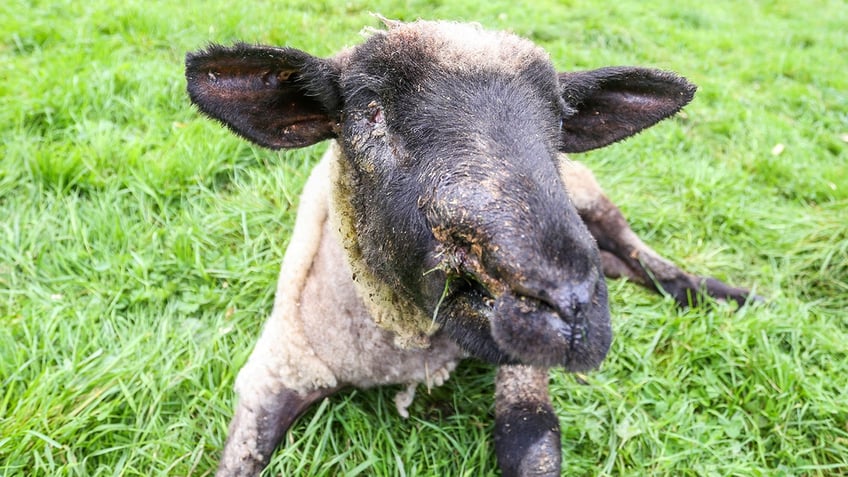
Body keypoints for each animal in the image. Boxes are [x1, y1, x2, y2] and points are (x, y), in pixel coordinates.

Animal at [186, 18, 756, 476]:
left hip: (590, 195)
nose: (571, 308)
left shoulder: (521, 359)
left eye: (559, 122)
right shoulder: (275, 370)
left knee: (639, 252)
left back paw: (722, 294)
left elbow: (533, 442)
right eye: (370, 113)